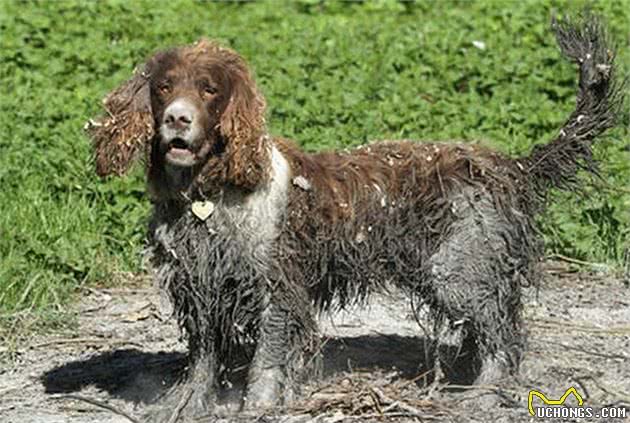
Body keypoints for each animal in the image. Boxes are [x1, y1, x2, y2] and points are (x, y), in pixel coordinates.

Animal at [89, 14, 628, 420]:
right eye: (163, 87)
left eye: (208, 90)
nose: (176, 118)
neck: (210, 195)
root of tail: (510, 165)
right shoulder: (198, 287)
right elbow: (202, 360)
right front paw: (186, 405)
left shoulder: (275, 288)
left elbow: (265, 360)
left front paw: (258, 406)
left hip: (459, 272)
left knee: (503, 336)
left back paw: (483, 395)